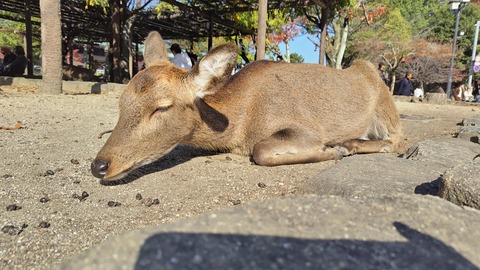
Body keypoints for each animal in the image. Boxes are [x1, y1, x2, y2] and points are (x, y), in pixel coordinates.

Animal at [91, 31, 404, 180]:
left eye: (162, 107)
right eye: (122, 101)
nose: (99, 166)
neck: (240, 127)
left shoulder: (306, 128)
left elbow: (261, 151)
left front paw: (332, 151)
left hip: (386, 105)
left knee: (399, 140)